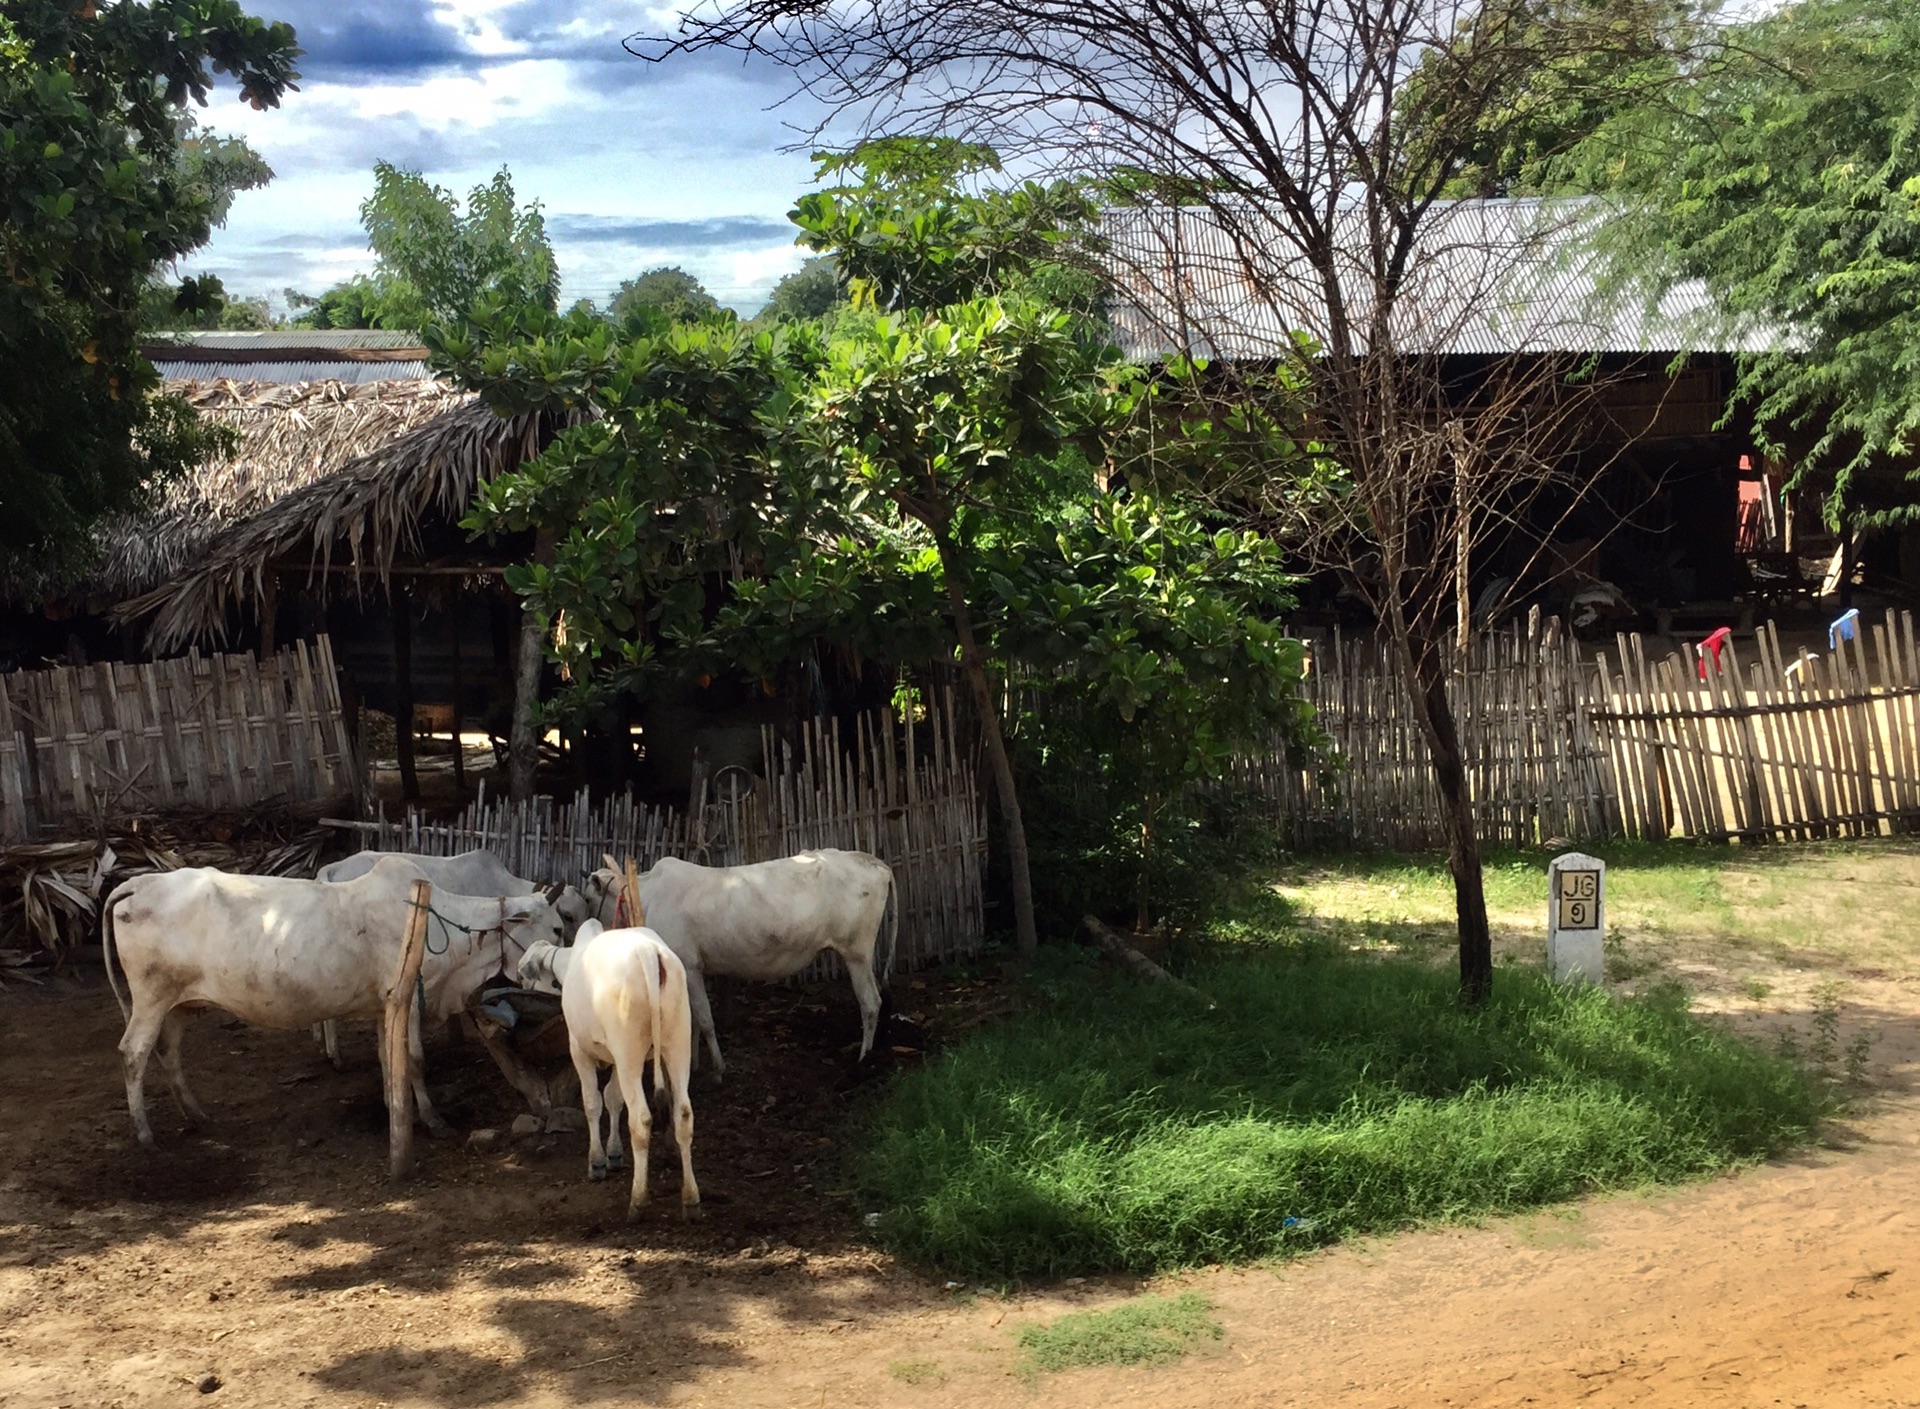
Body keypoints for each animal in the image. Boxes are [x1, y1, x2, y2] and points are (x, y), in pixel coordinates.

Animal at [103, 859, 560, 1151]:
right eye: (557, 926)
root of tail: (138, 883)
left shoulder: (385, 1008)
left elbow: (388, 1059)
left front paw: (394, 1109)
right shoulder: (408, 1002)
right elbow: (413, 1060)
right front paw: (433, 1121)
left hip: (179, 1004)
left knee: (168, 1052)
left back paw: (196, 1115)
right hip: (151, 998)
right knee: (132, 1053)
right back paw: (144, 1134)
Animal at [522, 921, 702, 1220]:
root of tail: (648, 952)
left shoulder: (579, 1049)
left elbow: (593, 1102)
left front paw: (597, 1162)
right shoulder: (618, 1060)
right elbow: (613, 1099)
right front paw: (614, 1154)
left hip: (629, 1049)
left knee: (641, 1119)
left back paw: (637, 1201)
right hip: (677, 1043)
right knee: (683, 1115)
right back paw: (691, 1200)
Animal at [579, 848, 894, 1082]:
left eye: (588, 898)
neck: (647, 897)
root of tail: (874, 861)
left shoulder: (689, 966)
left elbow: (705, 1019)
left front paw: (718, 1069)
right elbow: (693, 1019)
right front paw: (694, 1063)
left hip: (856, 952)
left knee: (870, 1002)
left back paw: (864, 1058)